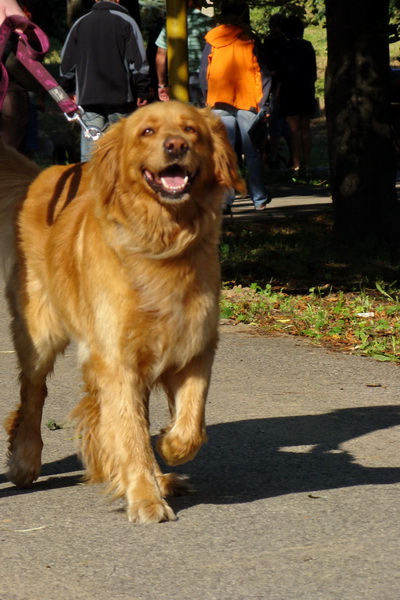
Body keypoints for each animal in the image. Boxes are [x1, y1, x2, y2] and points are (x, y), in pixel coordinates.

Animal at [0, 101, 244, 524]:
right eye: (147, 131)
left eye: (191, 130)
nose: (176, 146)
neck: (160, 242)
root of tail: (41, 175)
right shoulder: (117, 358)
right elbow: (130, 434)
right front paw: (145, 498)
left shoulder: (194, 347)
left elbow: (190, 426)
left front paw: (169, 448)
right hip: (39, 334)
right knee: (33, 394)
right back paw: (25, 461)